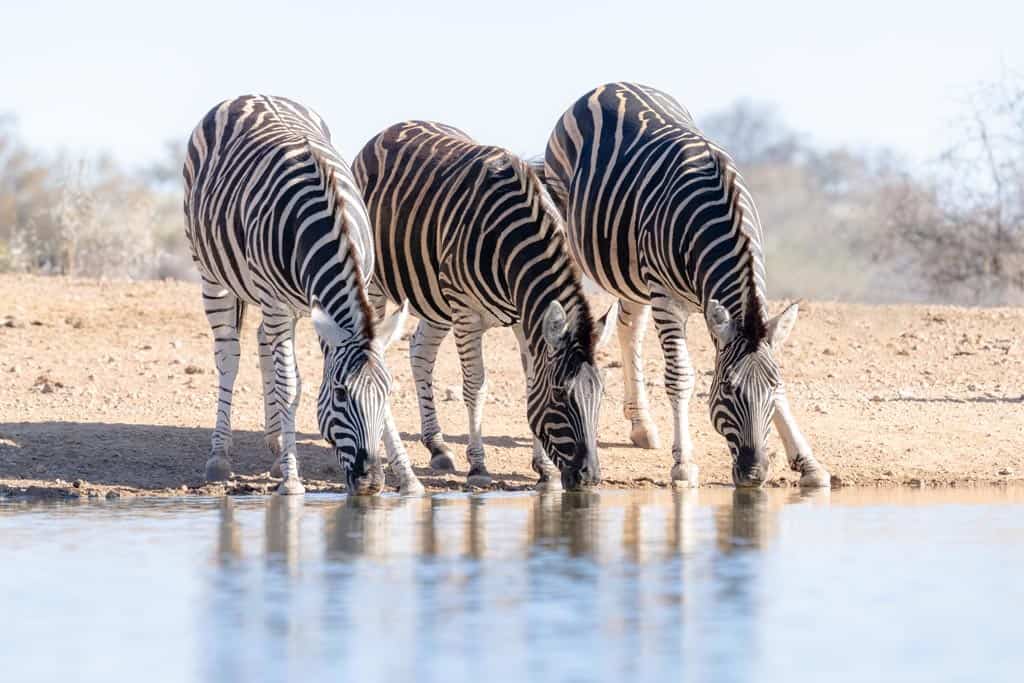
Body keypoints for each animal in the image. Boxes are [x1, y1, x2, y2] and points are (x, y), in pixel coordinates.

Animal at [182, 94, 421, 497]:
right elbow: (290, 385)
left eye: (387, 393)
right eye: (340, 394)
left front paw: (408, 478)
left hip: (286, 304)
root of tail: (252, 94)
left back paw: (277, 445)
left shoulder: (353, 292)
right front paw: (292, 479)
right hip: (213, 275)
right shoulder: (277, 303)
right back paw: (220, 456)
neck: (327, 223)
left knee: (263, 343)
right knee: (229, 355)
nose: (371, 482)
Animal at [352, 121, 614, 491]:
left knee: (420, 353)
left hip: (434, 297)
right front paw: (478, 466)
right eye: (560, 395)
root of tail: (393, 128)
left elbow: (531, 381)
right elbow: (475, 385)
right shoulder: (466, 312)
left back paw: (437, 446)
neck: (513, 242)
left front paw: (545, 469)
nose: (589, 479)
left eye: (601, 394)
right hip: (379, 284)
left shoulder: (525, 317)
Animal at [540, 82, 827, 489]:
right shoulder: (667, 297)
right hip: (580, 241)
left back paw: (641, 425)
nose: (755, 474)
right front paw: (684, 463)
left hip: (631, 273)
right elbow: (680, 377)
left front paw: (808, 462)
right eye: (728, 390)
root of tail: (612, 84)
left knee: (628, 327)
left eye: (770, 389)